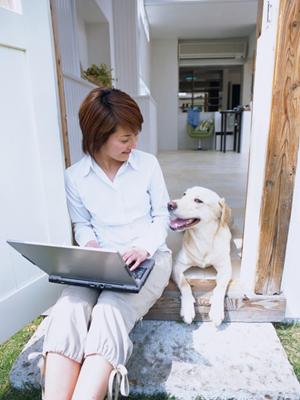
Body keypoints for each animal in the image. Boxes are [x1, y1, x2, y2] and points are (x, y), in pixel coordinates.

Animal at [169, 186, 232, 326]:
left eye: (198, 200)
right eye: (184, 194)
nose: (169, 204)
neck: (202, 238)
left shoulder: (225, 268)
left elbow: (220, 287)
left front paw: (217, 311)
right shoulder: (176, 266)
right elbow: (184, 284)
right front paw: (187, 309)